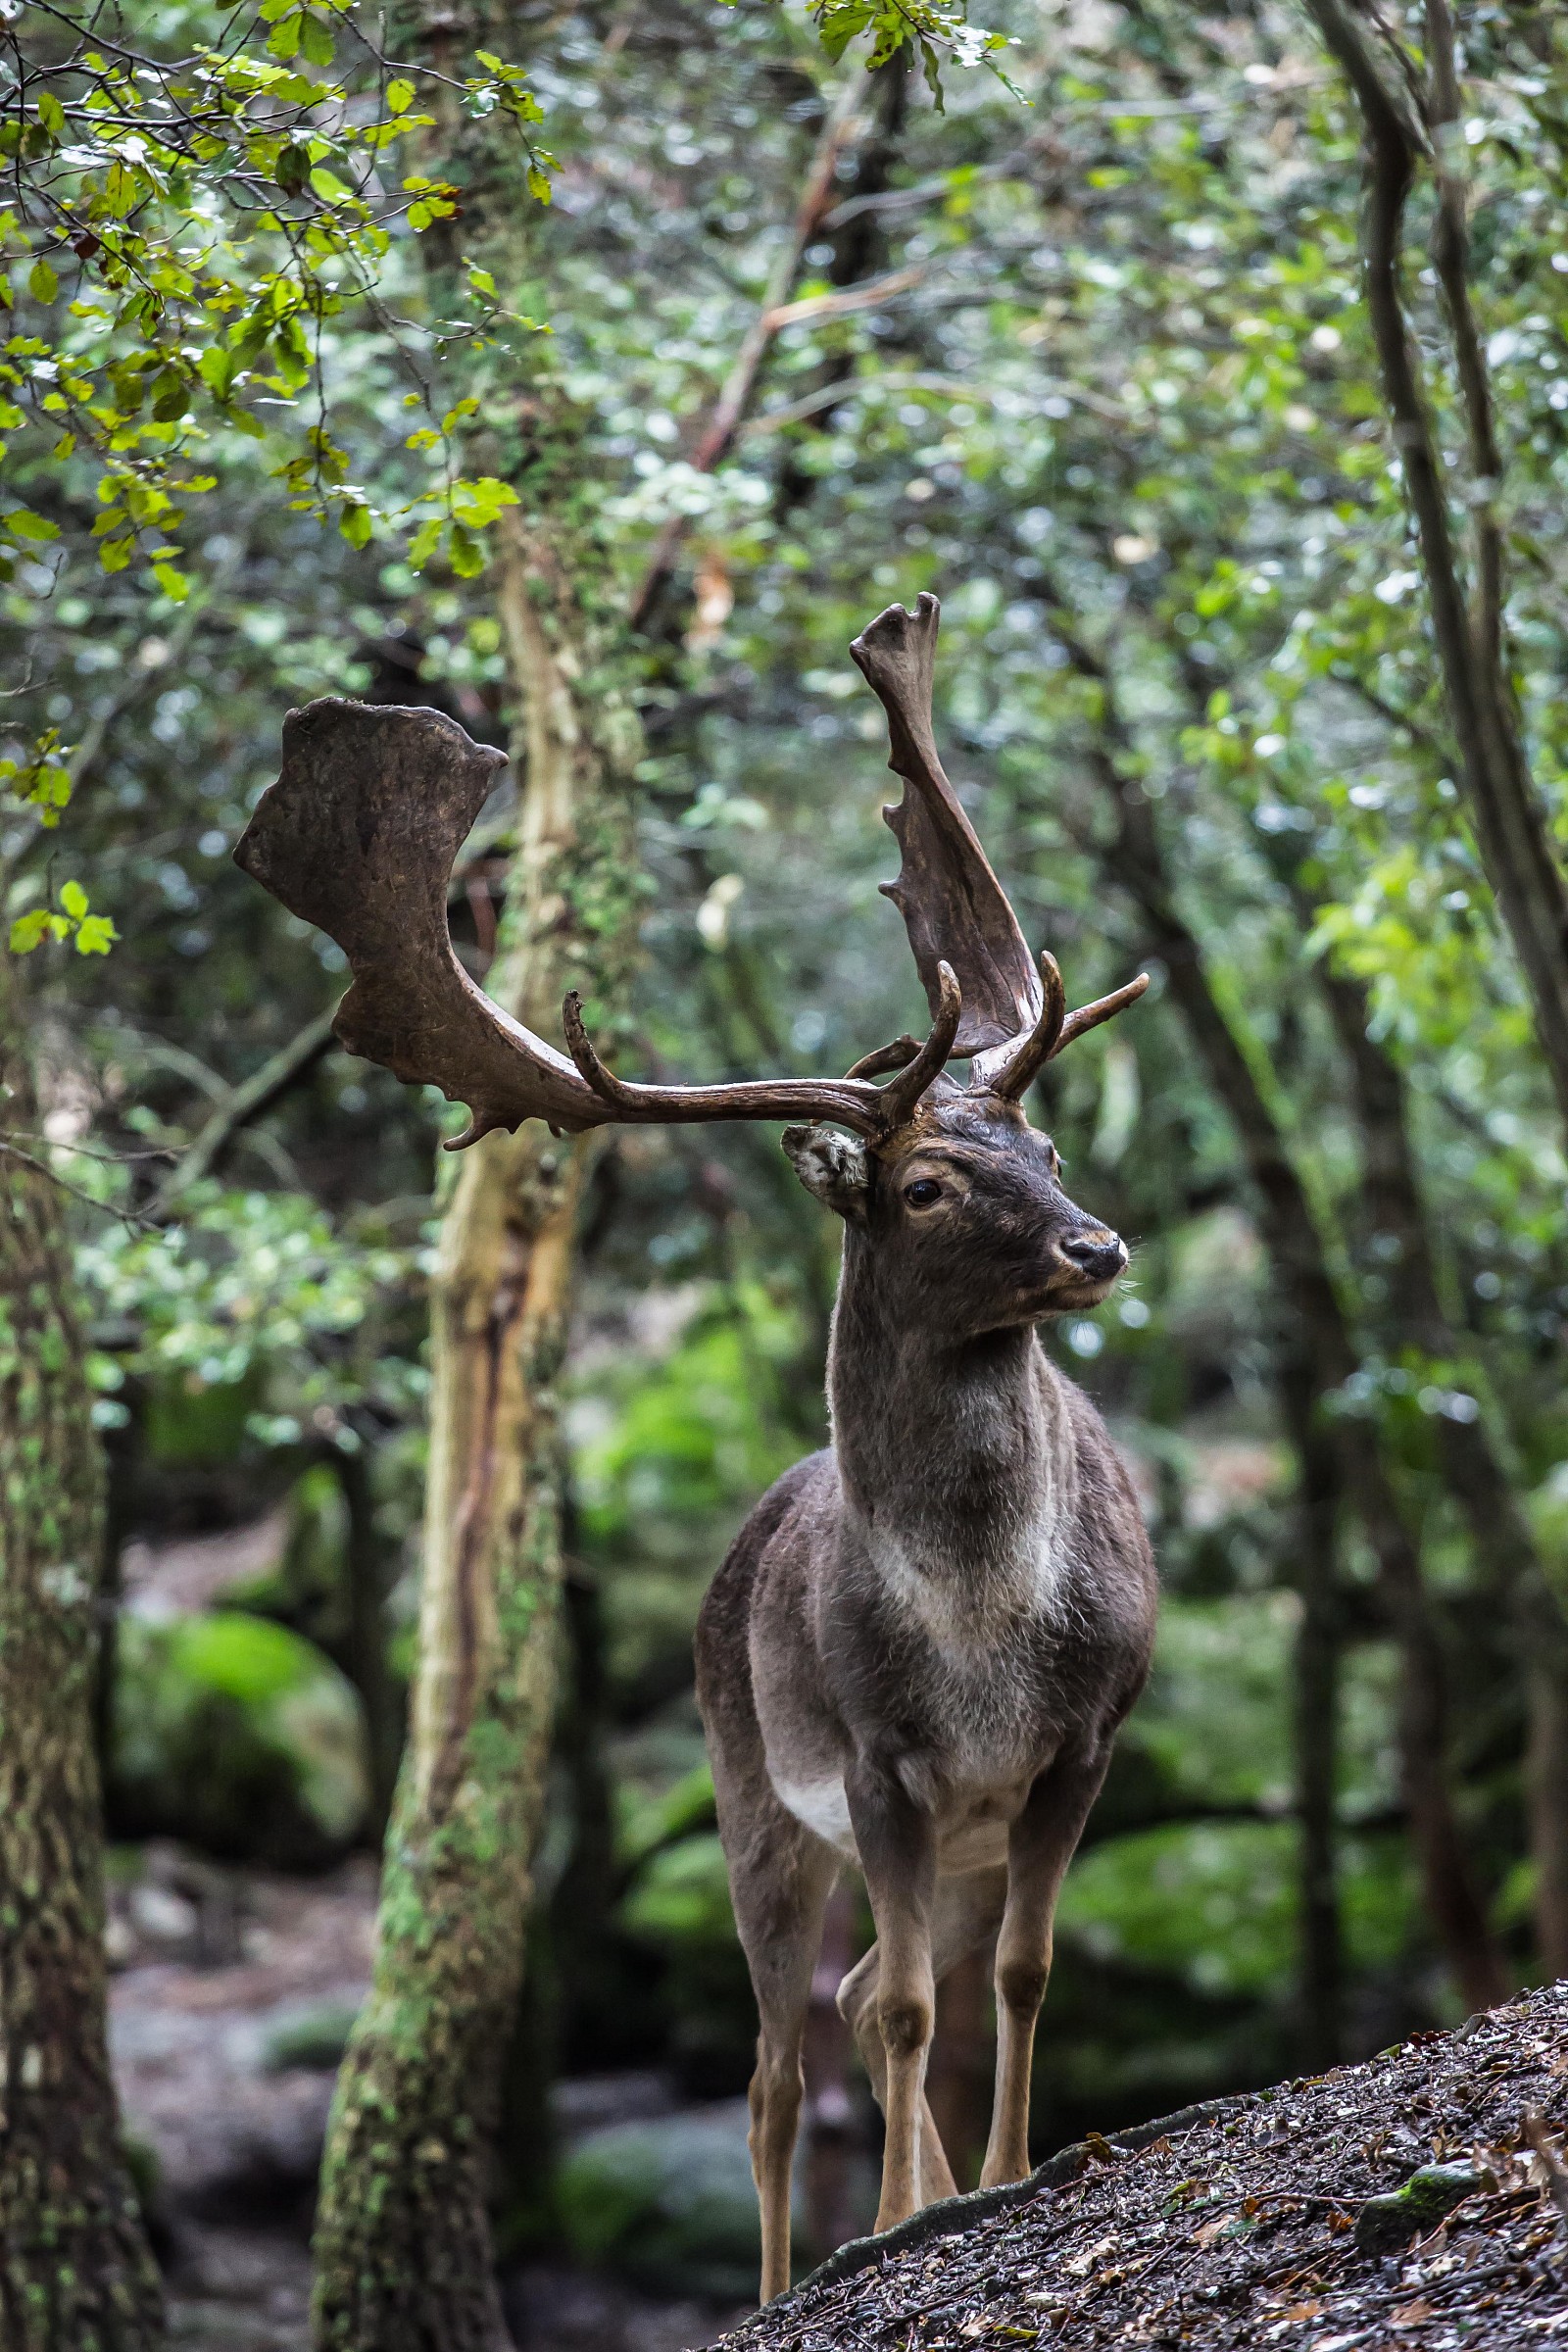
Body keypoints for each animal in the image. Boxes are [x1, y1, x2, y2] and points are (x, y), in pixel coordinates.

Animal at [235, 591, 1157, 2305]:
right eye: (922, 1186)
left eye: (1048, 1141)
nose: (1097, 1245)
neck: (984, 1635)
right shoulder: (875, 1759)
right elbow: (911, 2009)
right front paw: (912, 2219)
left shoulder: (1082, 1741)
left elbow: (1018, 1973)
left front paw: (1002, 2179)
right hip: (747, 1792)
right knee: (783, 2061)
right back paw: (789, 2269)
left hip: (942, 1831)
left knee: (868, 1998)